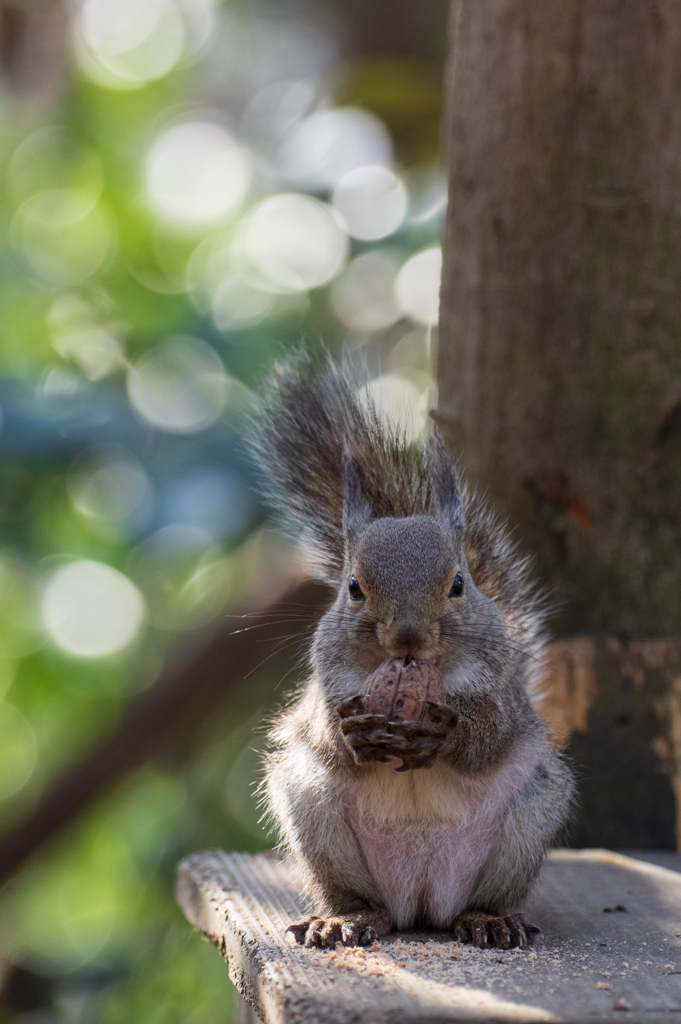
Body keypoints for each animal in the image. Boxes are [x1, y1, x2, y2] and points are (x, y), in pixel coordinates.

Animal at [249, 358, 573, 950]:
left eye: (459, 584)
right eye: (354, 587)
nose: (407, 639)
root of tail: (421, 898)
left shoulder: (501, 688)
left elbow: (488, 737)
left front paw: (445, 733)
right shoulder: (326, 683)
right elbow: (326, 736)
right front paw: (349, 732)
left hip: (530, 817)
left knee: (485, 897)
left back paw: (490, 919)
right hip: (313, 813)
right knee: (361, 900)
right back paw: (346, 918)